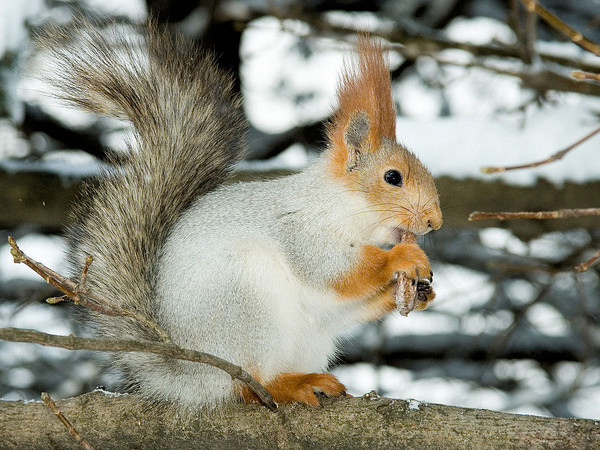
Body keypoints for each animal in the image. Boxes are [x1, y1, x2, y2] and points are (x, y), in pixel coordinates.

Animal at [36, 20, 440, 408]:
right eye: (392, 177)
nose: (434, 220)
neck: (344, 205)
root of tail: (191, 375)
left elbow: (347, 304)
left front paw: (418, 293)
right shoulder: (303, 230)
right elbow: (336, 269)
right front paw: (404, 257)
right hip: (245, 298)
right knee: (248, 384)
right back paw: (288, 385)